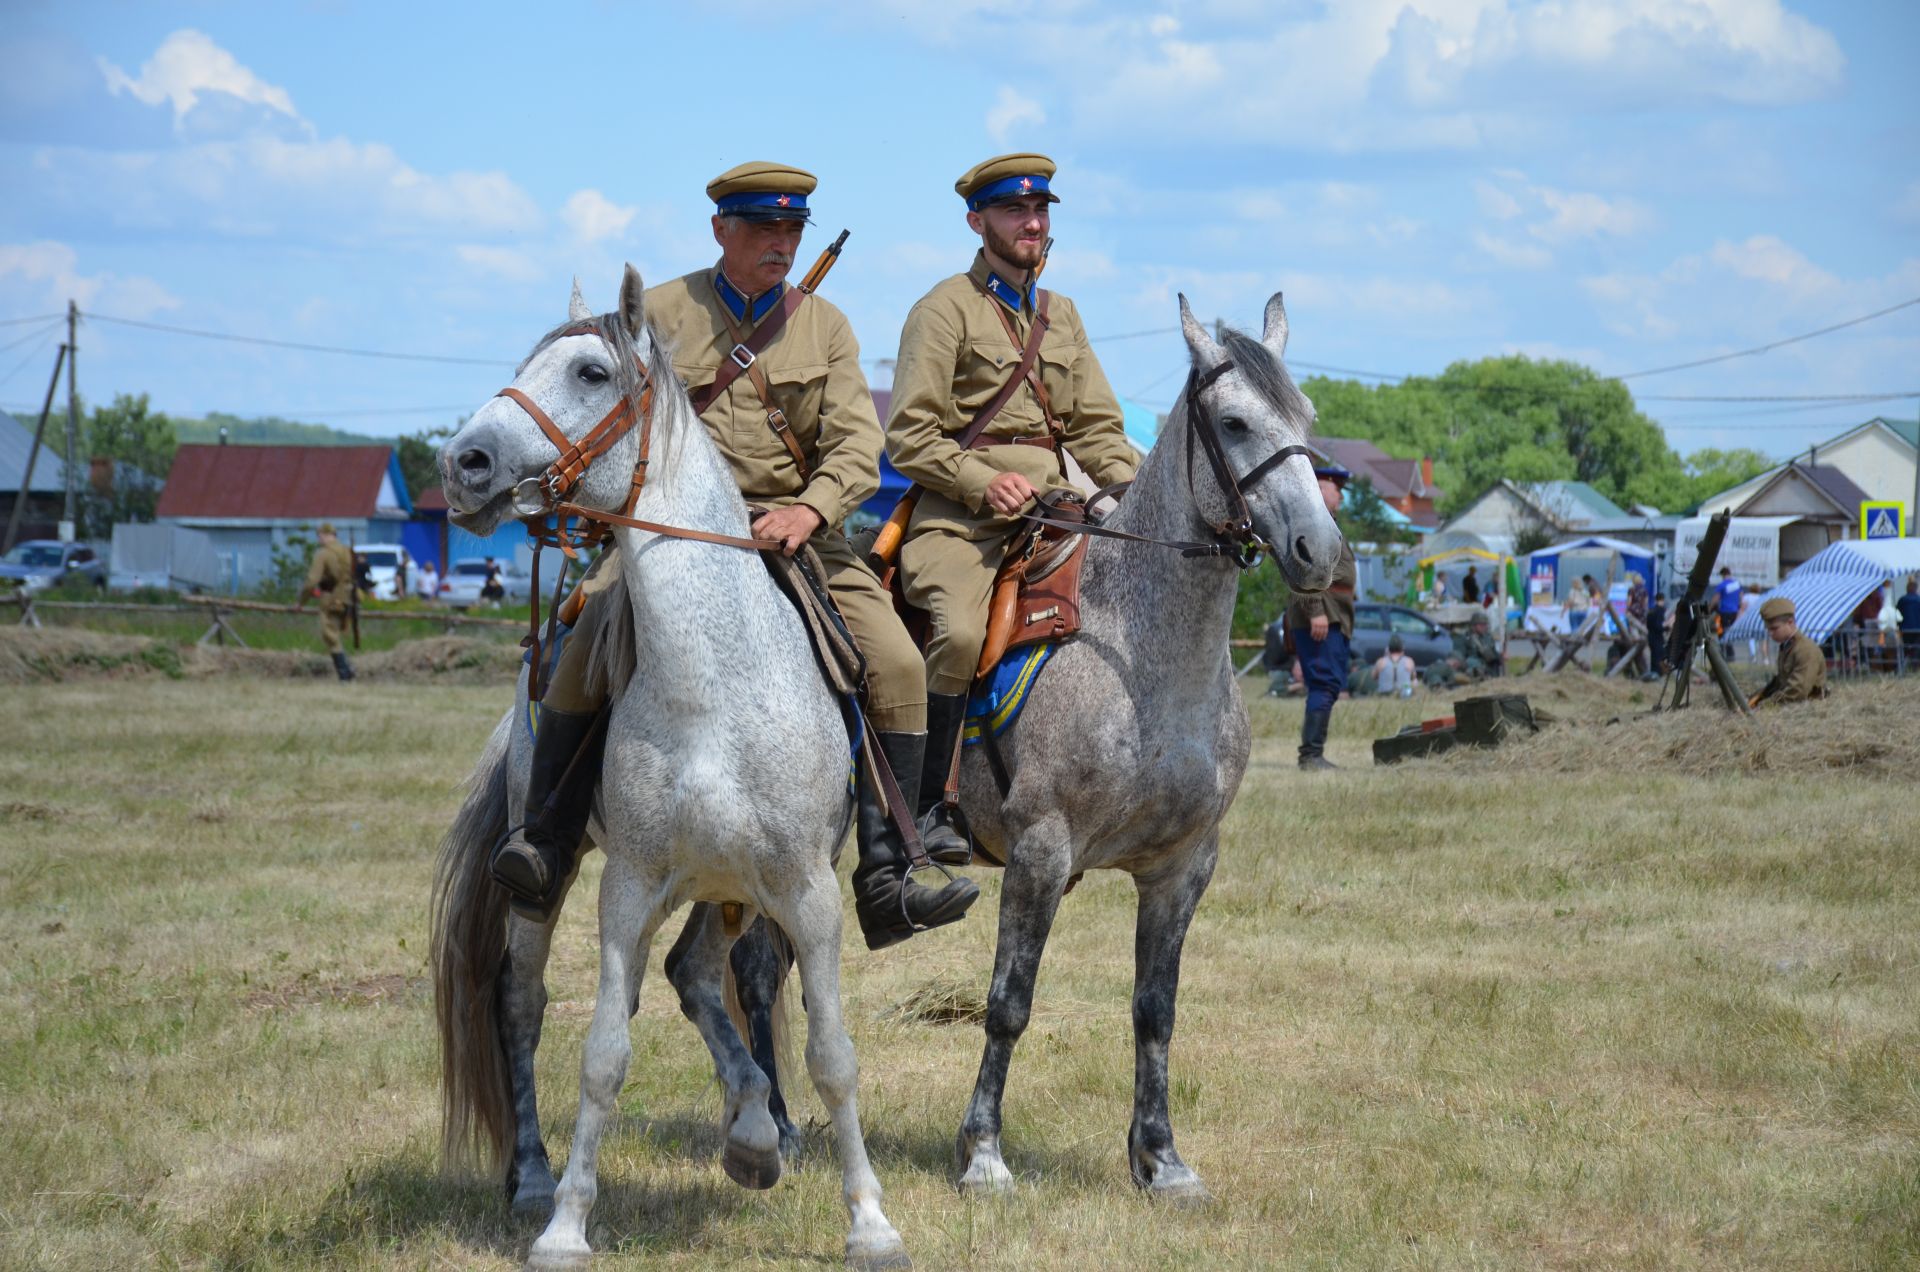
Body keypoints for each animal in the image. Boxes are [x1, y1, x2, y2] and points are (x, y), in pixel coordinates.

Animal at [432, 263, 910, 1268]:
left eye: (590, 372)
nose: (464, 465)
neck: (712, 685)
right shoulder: (627, 890)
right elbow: (602, 1055)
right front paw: (567, 1224)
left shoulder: (805, 891)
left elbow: (832, 1056)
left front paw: (869, 1220)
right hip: (553, 878)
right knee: (523, 1002)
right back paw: (533, 1175)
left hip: (732, 887)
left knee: (696, 974)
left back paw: (755, 1134)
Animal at [729, 293, 1336, 1198]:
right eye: (1233, 422)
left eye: (1306, 418)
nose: (1321, 552)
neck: (1142, 655)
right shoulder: (1040, 852)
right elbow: (1008, 1002)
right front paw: (983, 1153)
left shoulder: (1184, 865)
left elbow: (1156, 1010)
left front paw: (1161, 1159)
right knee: (758, 968)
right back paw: (774, 1132)